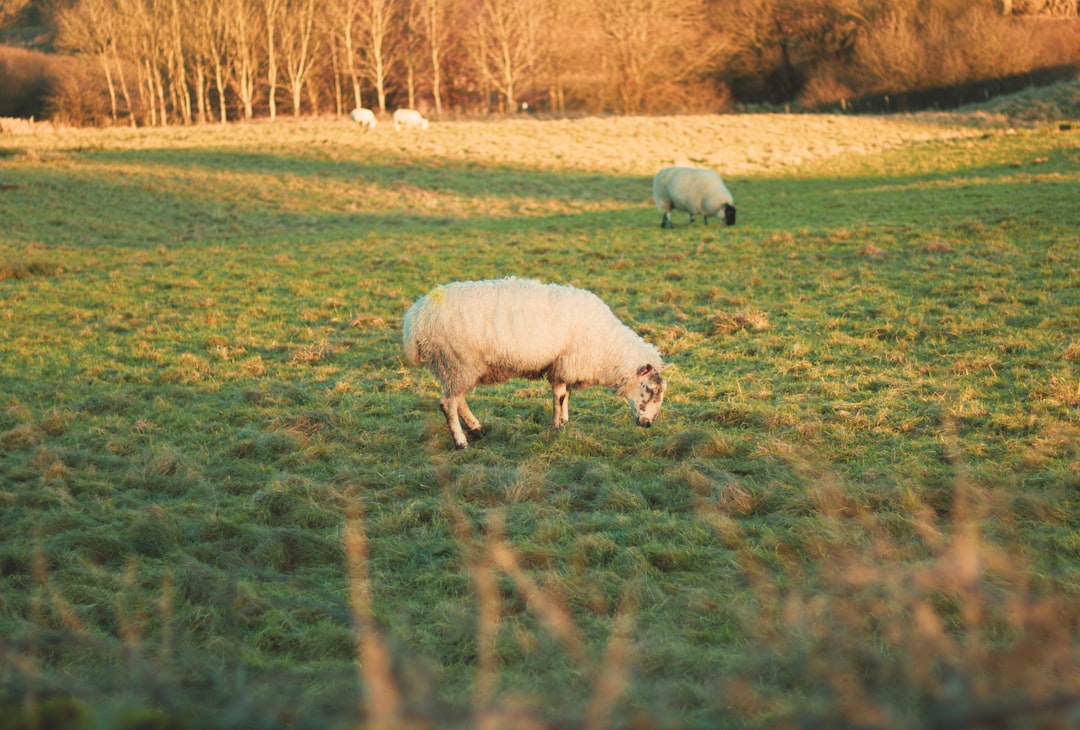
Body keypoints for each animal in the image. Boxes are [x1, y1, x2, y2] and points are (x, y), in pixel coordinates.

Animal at [401, 278, 660, 451]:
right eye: (651, 390)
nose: (648, 424)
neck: (609, 349)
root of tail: (416, 317)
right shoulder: (564, 363)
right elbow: (560, 397)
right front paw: (557, 427)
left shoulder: (560, 365)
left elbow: (564, 394)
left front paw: (563, 422)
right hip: (456, 362)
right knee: (448, 404)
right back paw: (461, 442)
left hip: (457, 367)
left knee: (458, 400)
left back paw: (477, 429)